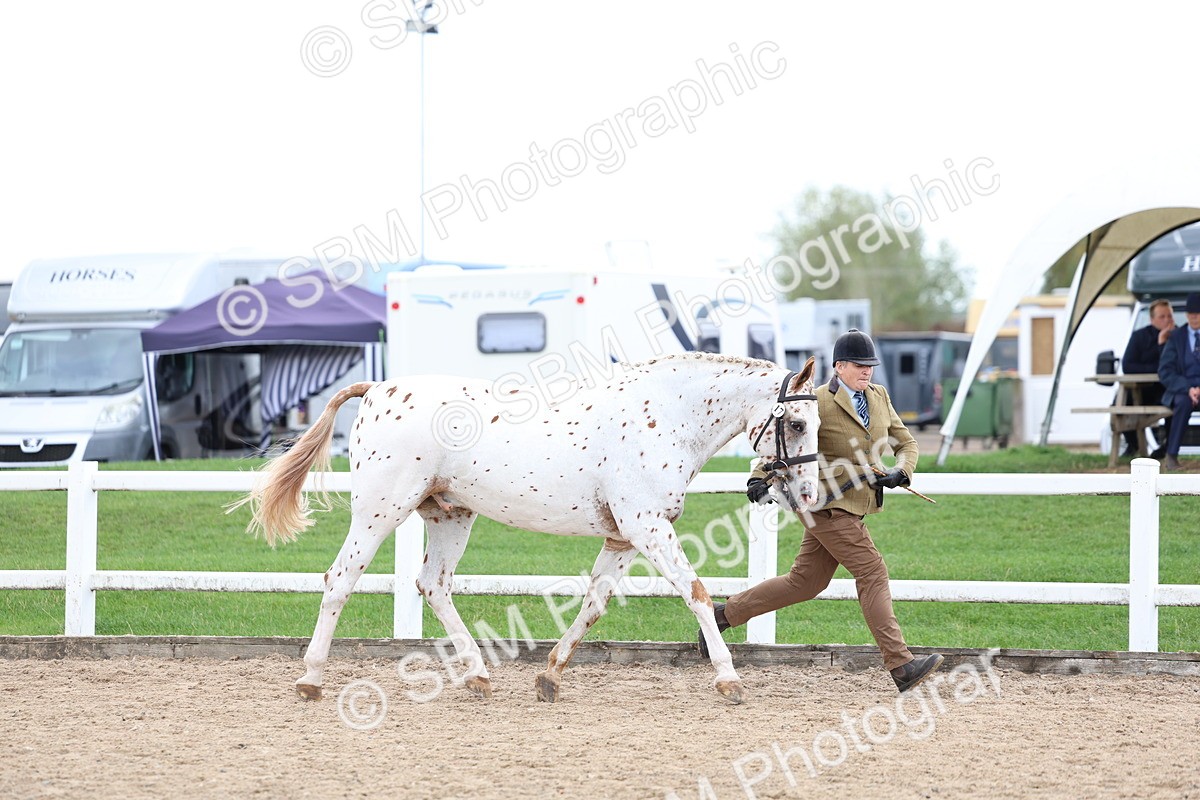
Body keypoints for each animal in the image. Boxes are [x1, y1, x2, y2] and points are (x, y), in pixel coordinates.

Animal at [230, 352, 820, 705]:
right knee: (340, 580)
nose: (811, 495)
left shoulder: (623, 537)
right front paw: (728, 678)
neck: (665, 416)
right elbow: (695, 592)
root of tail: (377, 388)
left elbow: (594, 604)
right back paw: (310, 680)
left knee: (432, 585)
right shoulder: (647, 527)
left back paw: (478, 674)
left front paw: (549, 676)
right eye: (795, 422)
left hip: (449, 515)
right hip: (380, 510)